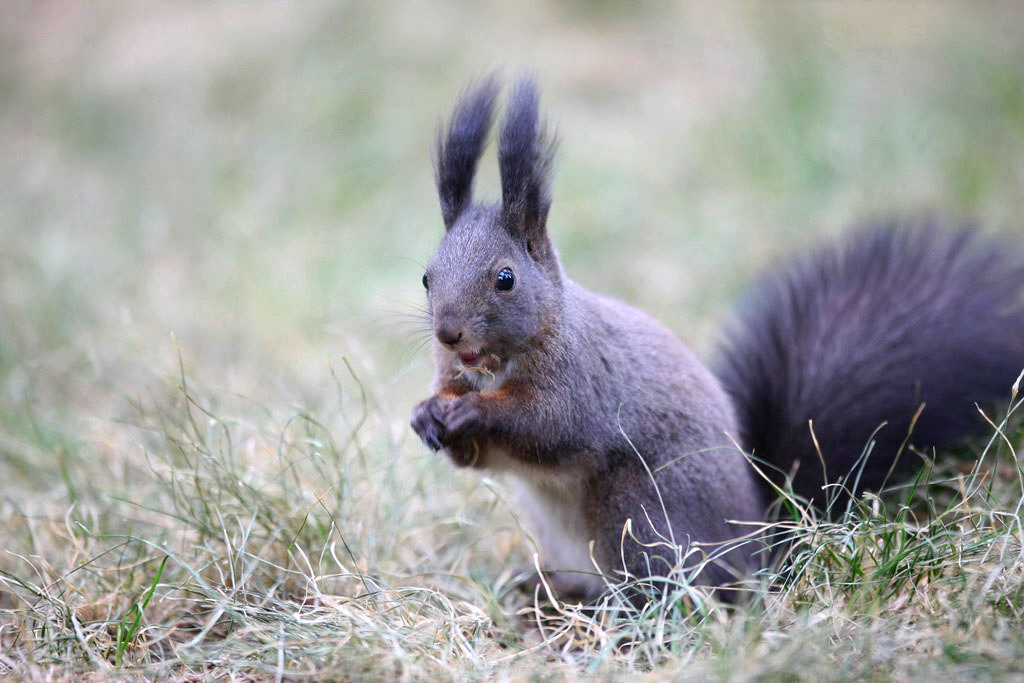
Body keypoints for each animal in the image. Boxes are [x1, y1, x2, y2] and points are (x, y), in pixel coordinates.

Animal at [407, 73, 1024, 598]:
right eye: (427, 276)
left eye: (505, 278)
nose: (448, 333)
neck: (501, 361)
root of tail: (759, 548)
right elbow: (477, 456)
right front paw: (426, 414)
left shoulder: (582, 381)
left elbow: (546, 425)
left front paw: (474, 411)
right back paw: (549, 587)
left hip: (637, 514)